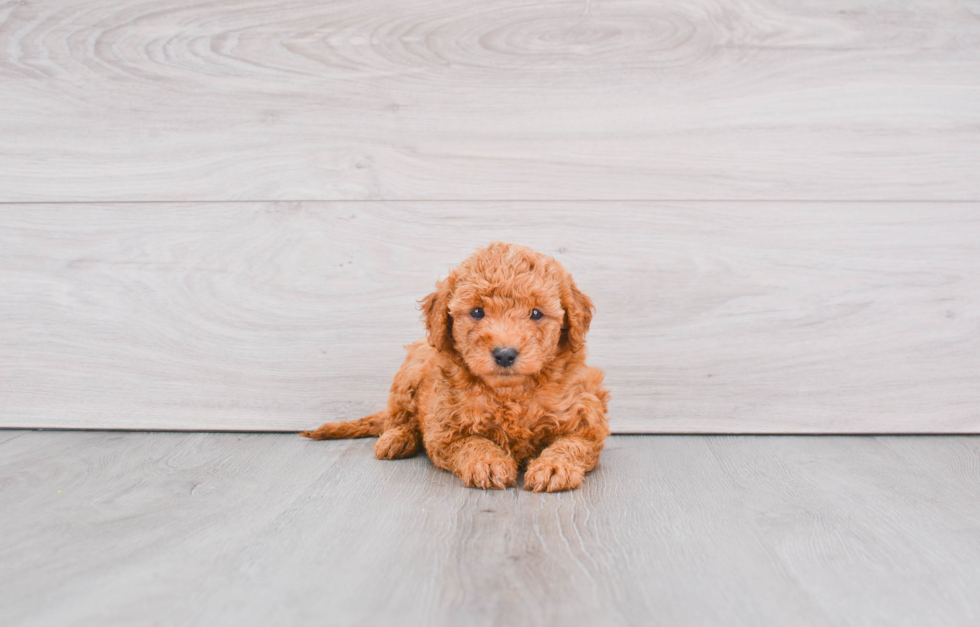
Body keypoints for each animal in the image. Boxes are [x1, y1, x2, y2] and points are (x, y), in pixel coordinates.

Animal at [298, 243, 608, 494]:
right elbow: (472, 443)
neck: (509, 393)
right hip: (408, 375)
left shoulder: (586, 422)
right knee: (399, 419)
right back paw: (396, 439)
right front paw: (488, 462)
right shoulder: (445, 430)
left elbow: (571, 444)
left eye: (536, 313)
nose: (505, 354)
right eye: (477, 312)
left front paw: (554, 467)